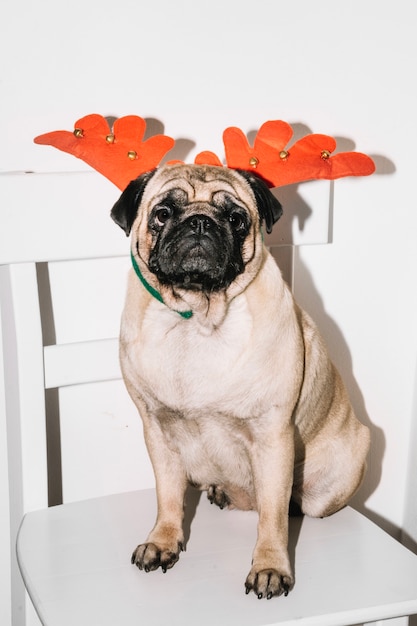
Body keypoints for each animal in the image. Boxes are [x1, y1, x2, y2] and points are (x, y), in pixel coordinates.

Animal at [111, 163, 370, 596]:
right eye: (163, 213)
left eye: (235, 218)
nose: (200, 221)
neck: (197, 319)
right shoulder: (157, 430)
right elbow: (168, 495)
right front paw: (163, 541)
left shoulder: (272, 436)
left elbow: (272, 517)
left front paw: (271, 567)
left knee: (287, 505)